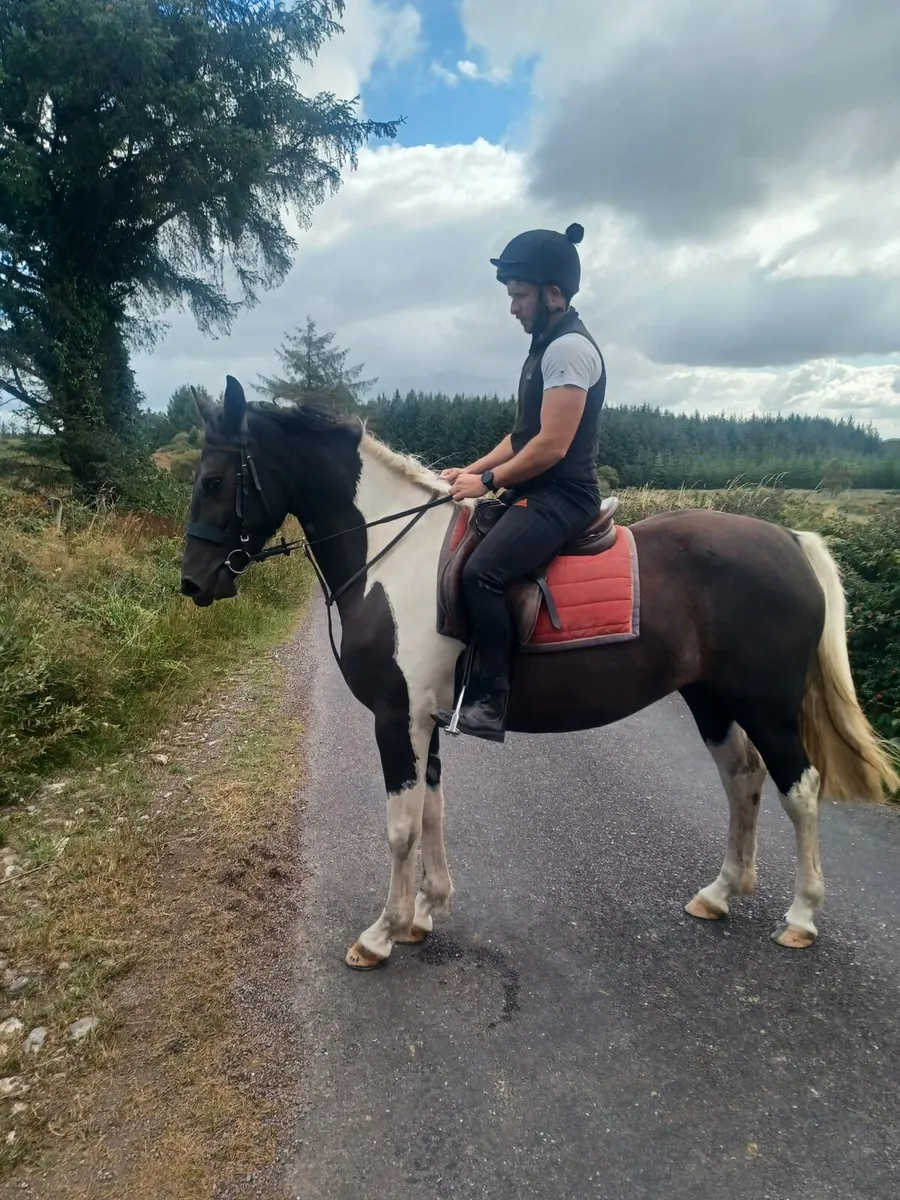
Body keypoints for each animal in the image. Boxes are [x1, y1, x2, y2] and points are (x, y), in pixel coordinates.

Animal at [180, 376, 899, 970]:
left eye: (214, 481)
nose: (192, 584)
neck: (394, 556)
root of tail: (787, 540)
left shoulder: (397, 717)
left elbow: (401, 825)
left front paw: (383, 932)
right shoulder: (426, 719)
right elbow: (433, 810)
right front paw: (426, 913)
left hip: (767, 706)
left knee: (800, 788)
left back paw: (801, 916)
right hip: (711, 698)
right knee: (742, 778)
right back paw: (721, 892)